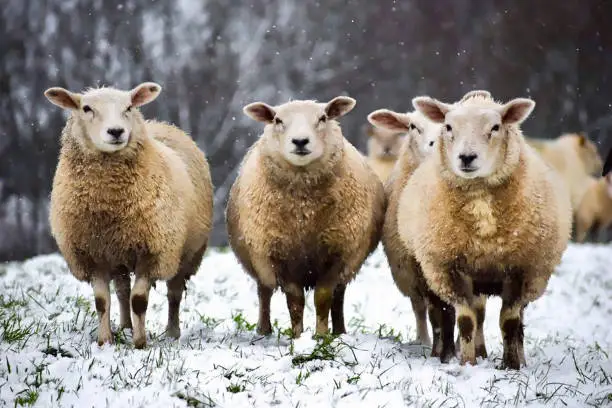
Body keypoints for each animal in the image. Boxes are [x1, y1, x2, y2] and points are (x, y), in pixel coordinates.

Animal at [43, 82, 213, 348]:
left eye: (129, 107)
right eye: (86, 108)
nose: (116, 131)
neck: (110, 203)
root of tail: (162, 124)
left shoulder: (152, 252)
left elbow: (139, 300)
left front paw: (140, 343)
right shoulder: (93, 254)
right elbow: (102, 302)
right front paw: (105, 341)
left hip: (184, 253)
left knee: (173, 293)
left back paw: (172, 332)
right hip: (118, 253)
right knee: (122, 290)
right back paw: (124, 326)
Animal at [227, 96, 384, 338]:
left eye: (323, 118)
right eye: (278, 120)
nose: (300, 141)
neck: (304, 210)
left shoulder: (338, 251)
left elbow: (324, 297)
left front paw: (321, 337)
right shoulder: (280, 254)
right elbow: (295, 301)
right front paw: (298, 336)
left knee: (339, 296)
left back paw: (340, 331)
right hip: (259, 258)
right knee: (264, 292)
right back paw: (264, 330)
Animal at [400, 92, 572, 370]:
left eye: (495, 127)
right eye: (448, 126)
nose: (467, 157)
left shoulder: (521, 268)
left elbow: (510, 321)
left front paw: (511, 366)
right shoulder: (449, 269)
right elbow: (467, 320)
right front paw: (468, 364)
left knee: (518, 322)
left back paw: (520, 358)